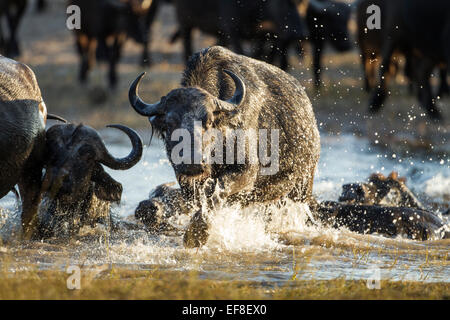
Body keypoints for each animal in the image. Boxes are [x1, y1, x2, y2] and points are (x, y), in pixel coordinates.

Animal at [128, 45, 322, 246]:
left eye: (208, 121)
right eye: (169, 123)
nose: (192, 163)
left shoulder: (247, 171)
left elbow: (217, 191)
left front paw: (197, 233)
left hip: (302, 185)